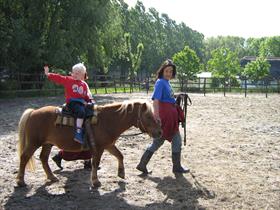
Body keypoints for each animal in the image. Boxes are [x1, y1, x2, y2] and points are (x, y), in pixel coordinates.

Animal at [17, 100, 162, 187]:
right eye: (148, 116)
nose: (160, 132)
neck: (107, 120)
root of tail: (33, 112)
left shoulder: (108, 145)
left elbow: (120, 155)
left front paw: (121, 173)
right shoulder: (99, 148)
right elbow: (95, 163)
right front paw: (95, 181)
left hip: (47, 144)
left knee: (43, 158)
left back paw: (52, 177)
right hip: (33, 143)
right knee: (24, 157)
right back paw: (20, 181)